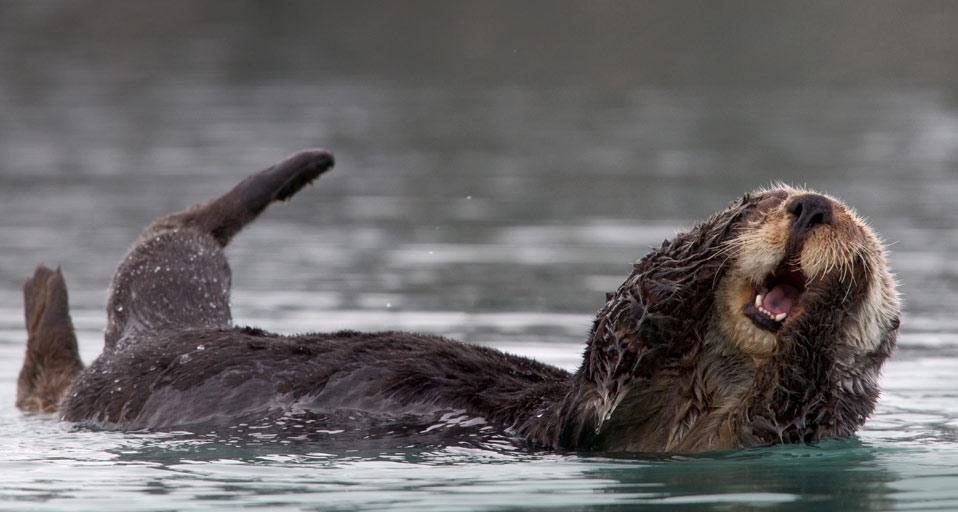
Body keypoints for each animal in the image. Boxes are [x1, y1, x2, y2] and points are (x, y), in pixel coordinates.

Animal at [15, 150, 900, 453]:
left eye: (862, 236)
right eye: (766, 202)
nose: (812, 207)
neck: (709, 386)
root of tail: (167, 336)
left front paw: (836, 303)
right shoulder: (603, 392)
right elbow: (633, 311)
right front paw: (712, 236)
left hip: (129, 358)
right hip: (165, 306)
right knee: (178, 235)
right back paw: (302, 167)